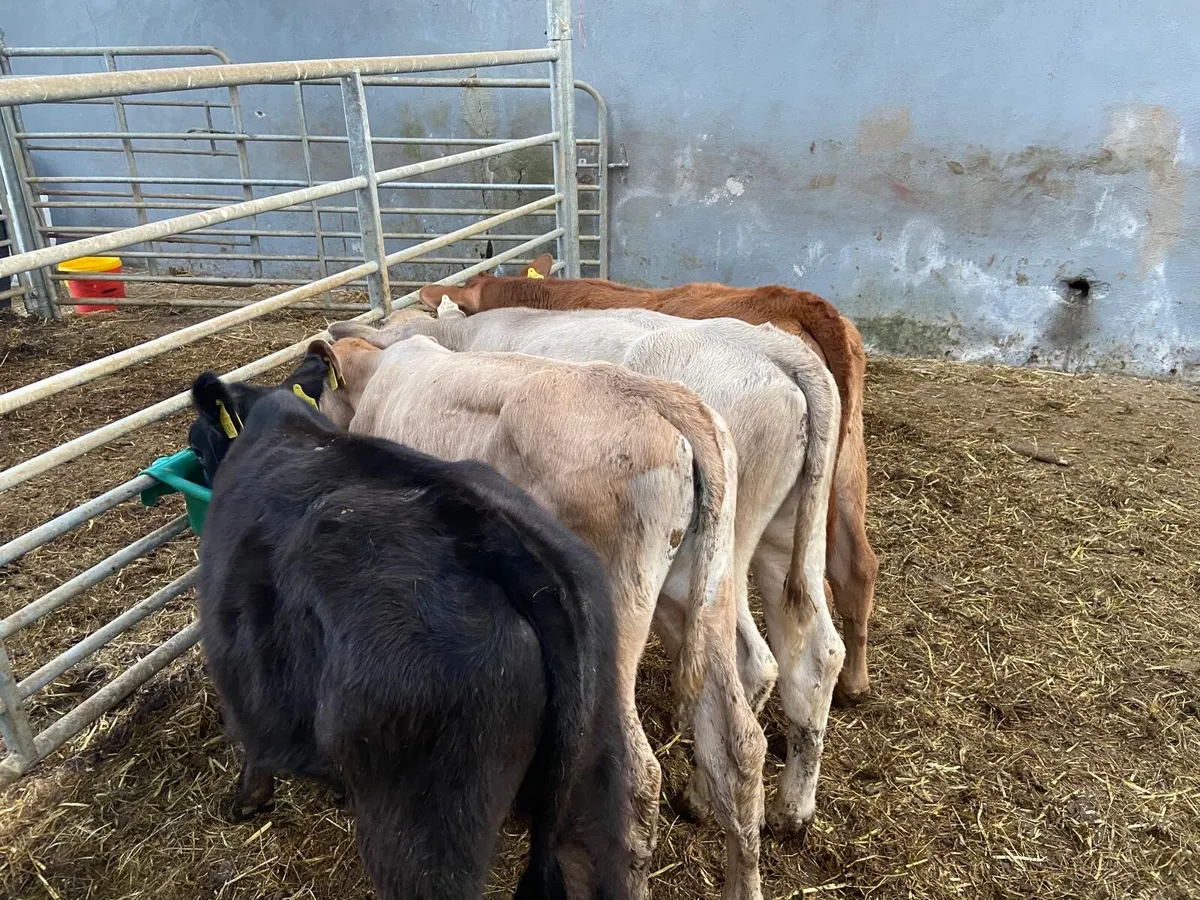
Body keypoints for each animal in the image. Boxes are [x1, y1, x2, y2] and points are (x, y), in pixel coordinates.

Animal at [187, 363, 631, 900]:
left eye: (198, 443)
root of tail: (499, 540)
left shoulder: (235, 672)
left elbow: (251, 746)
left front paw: (248, 800)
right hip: (595, 780)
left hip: (423, 830)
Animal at [327, 303, 843, 839]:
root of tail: (775, 347)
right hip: (776, 539)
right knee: (811, 654)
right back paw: (788, 807)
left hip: (708, 562)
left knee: (750, 663)